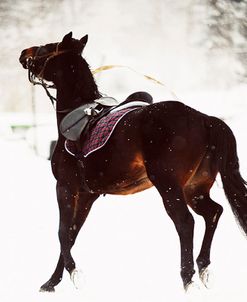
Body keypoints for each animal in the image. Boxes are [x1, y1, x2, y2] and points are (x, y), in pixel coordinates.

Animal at [18, 32, 247, 292]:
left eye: (47, 48)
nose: (24, 53)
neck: (78, 120)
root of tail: (204, 119)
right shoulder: (87, 195)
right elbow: (73, 234)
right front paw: (52, 281)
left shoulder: (66, 187)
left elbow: (63, 233)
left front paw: (73, 273)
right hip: (195, 188)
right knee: (213, 212)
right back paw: (203, 267)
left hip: (169, 186)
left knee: (185, 222)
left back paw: (188, 278)